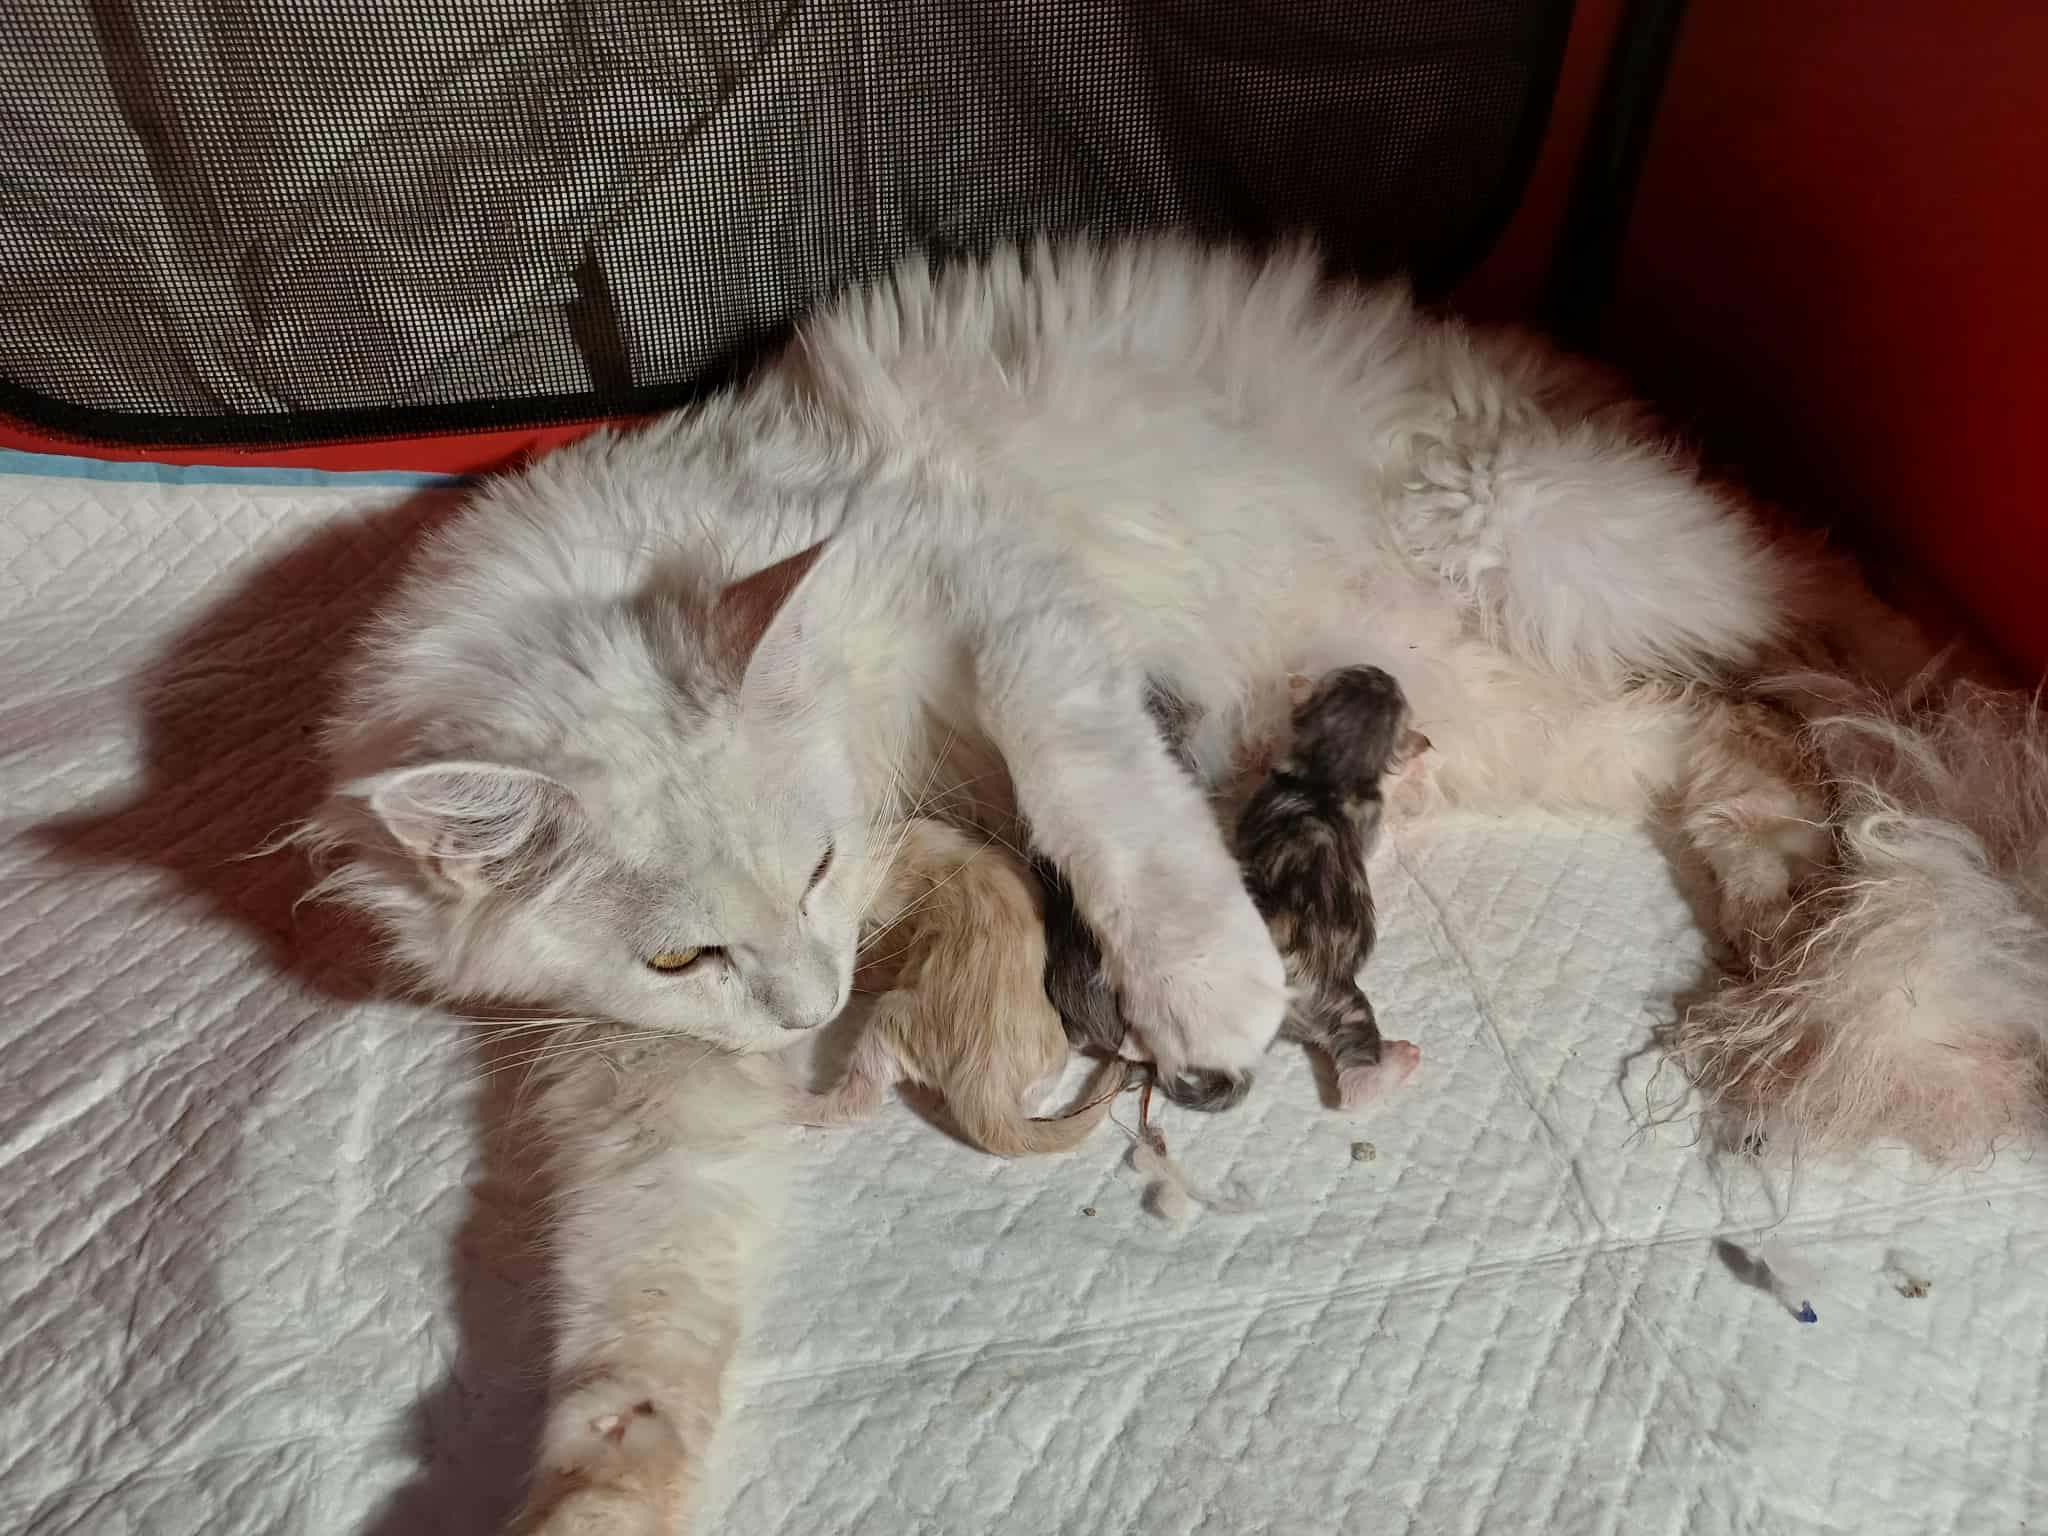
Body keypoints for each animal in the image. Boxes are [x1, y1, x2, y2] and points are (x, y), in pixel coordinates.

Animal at [800, 816, 1127, 1155]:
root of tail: (985, 1083)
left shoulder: (892, 926)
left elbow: (872, 964)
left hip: (892, 1016)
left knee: (856, 1102)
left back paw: (790, 1101)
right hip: (1049, 1060)